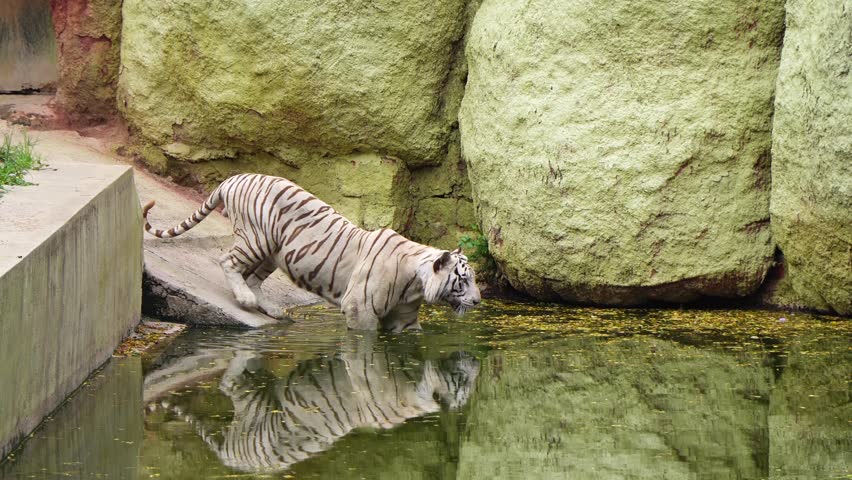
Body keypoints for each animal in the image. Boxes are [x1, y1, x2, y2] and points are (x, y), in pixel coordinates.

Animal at [143, 173, 481, 331]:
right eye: (463, 280)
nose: (479, 301)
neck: (416, 284)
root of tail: (233, 178)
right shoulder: (360, 309)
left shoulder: (406, 319)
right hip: (256, 238)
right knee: (228, 260)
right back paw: (245, 300)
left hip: (273, 252)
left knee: (253, 278)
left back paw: (273, 310)